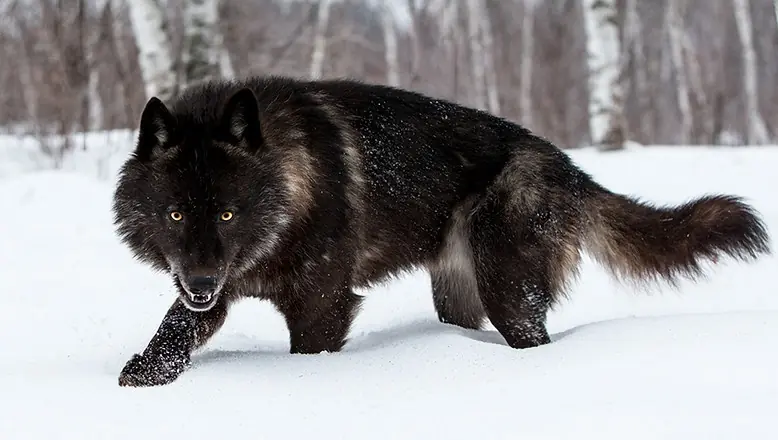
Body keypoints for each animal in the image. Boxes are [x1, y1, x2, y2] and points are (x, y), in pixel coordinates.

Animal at [112, 75, 770, 387]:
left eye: (228, 214)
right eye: (176, 215)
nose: (201, 282)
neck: (290, 184)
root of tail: (567, 166)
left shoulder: (322, 306)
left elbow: (308, 353)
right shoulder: (211, 290)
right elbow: (172, 333)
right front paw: (139, 379)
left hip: (509, 295)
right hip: (457, 297)